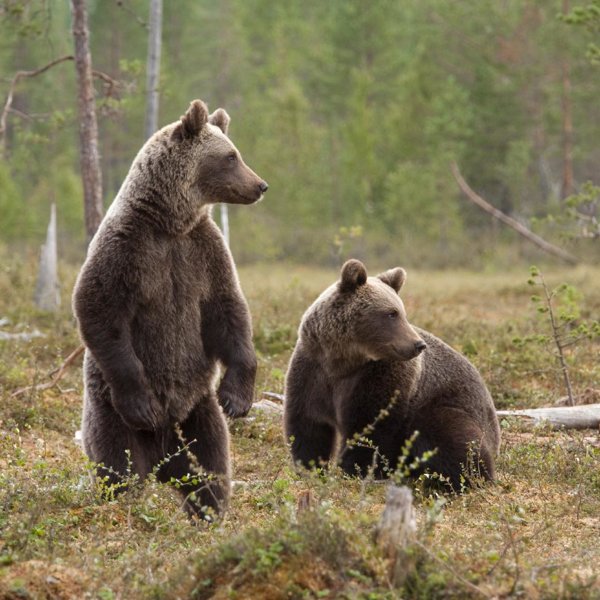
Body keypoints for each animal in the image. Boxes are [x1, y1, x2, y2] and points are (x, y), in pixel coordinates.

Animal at [72, 99, 268, 520]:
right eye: (231, 156)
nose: (260, 185)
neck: (170, 222)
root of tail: (163, 458)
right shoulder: (128, 248)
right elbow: (99, 308)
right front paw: (142, 402)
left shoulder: (203, 252)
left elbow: (228, 310)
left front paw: (237, 397)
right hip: (108, 412)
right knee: (120, 466)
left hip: (198, 414)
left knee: (211, 467)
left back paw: (208, 511)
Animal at [284, 260, 500, 490]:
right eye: (391, 313)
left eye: (401, 312)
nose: (418, 344)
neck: (343, 361)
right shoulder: (313, 370)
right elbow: (309, 425)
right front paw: (311, 469)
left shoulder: (380, 377)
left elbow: (370, 427)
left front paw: (354, 471)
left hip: (447, 405)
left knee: (452, 438)